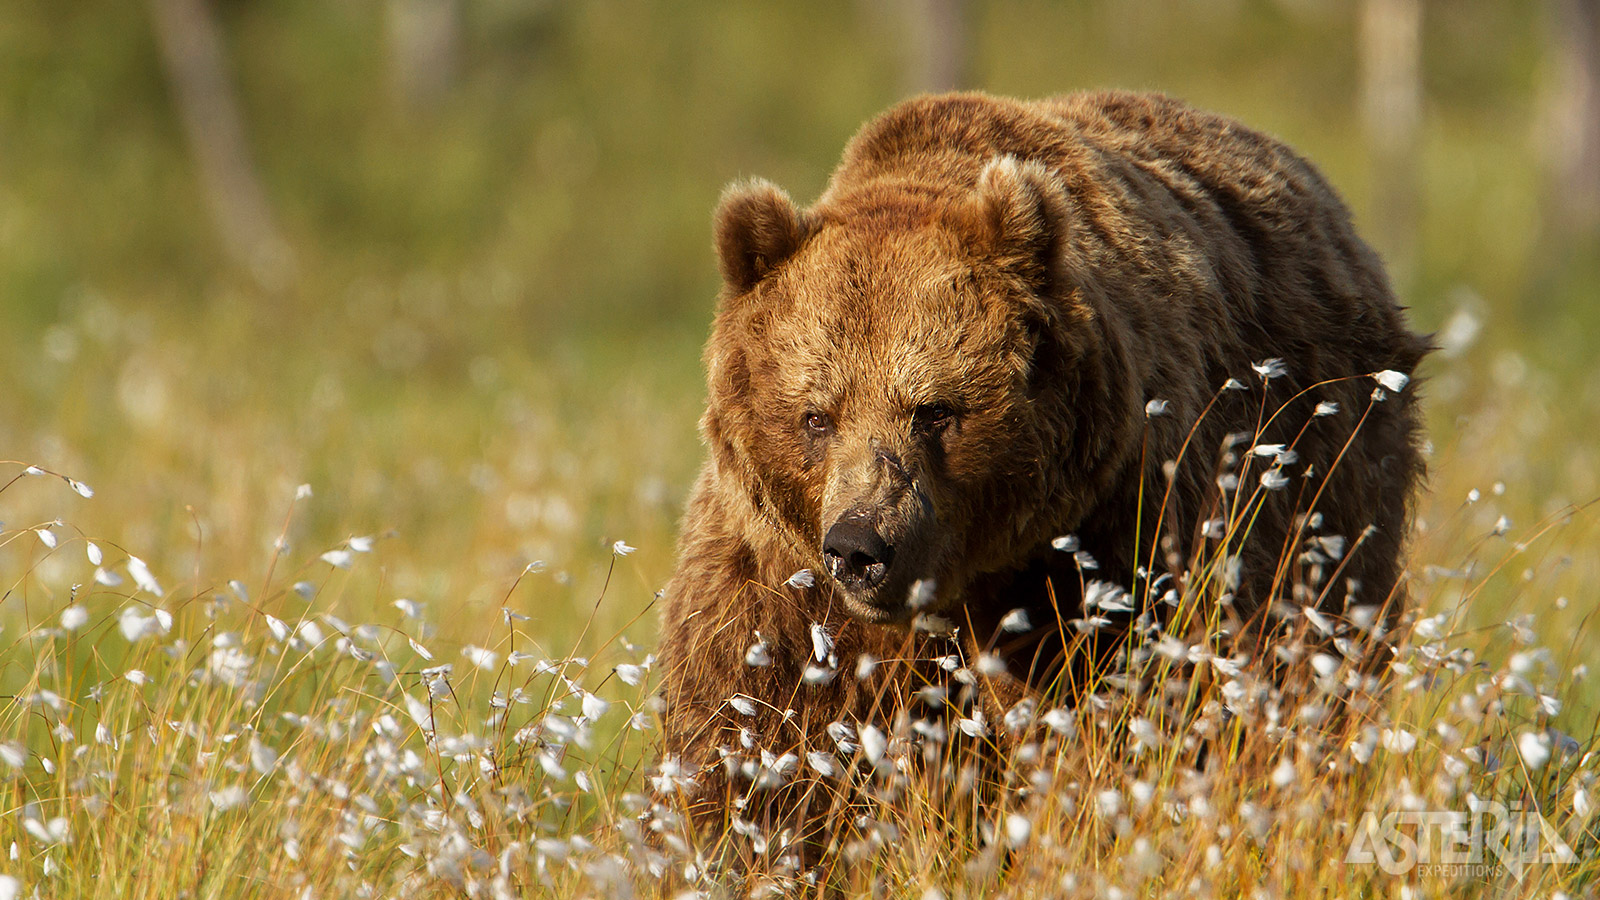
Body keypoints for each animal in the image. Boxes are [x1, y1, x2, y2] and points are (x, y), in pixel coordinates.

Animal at [649, 89, 1427, 845]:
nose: (861, 546)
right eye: (816, 415)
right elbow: (755, 751)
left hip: (1323, 476)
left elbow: (1130, 718)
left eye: (934, 410)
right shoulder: (779, 589)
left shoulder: (1112, 545)